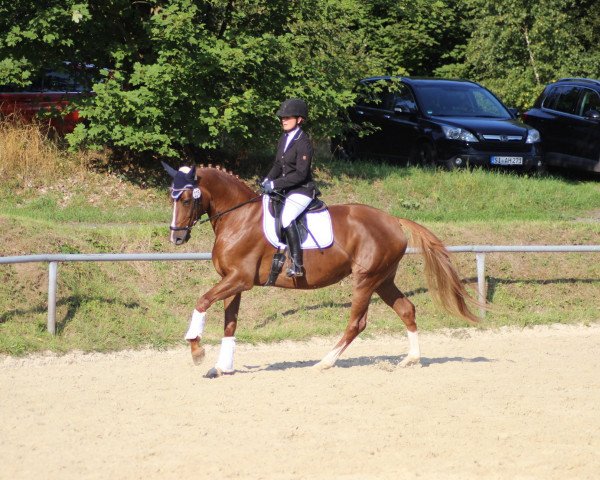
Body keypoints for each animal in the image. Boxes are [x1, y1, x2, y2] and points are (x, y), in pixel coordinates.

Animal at [163, 163, 478, 376]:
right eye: (171, 198)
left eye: (187, 199)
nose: (176, 238)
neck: (238, 217)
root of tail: (393, 220)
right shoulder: (233, 281)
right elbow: (230, 322)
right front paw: (221, 367)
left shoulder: (240, 279)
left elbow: (202, 301)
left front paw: (197, 350)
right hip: (383, 279)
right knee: (406, 309)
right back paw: (411, 359)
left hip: (366, 279)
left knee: (357, 323)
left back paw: (325, 362)